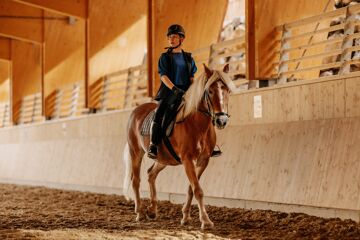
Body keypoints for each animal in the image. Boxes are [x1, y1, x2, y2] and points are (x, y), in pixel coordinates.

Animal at [124, 63, 236, 229]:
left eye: (226, 90)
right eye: (209, 91)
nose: (221, 120)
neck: (197, 124)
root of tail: (136, 111)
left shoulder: (203, 161)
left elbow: (192, 188)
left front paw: (185, 216)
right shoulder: (188, 159)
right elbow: (198, 189)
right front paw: (205, 220)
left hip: (163, 158)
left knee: (151, 174)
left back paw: (152, 210)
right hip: (136, 153)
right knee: (136, 181)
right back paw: (140, 212)